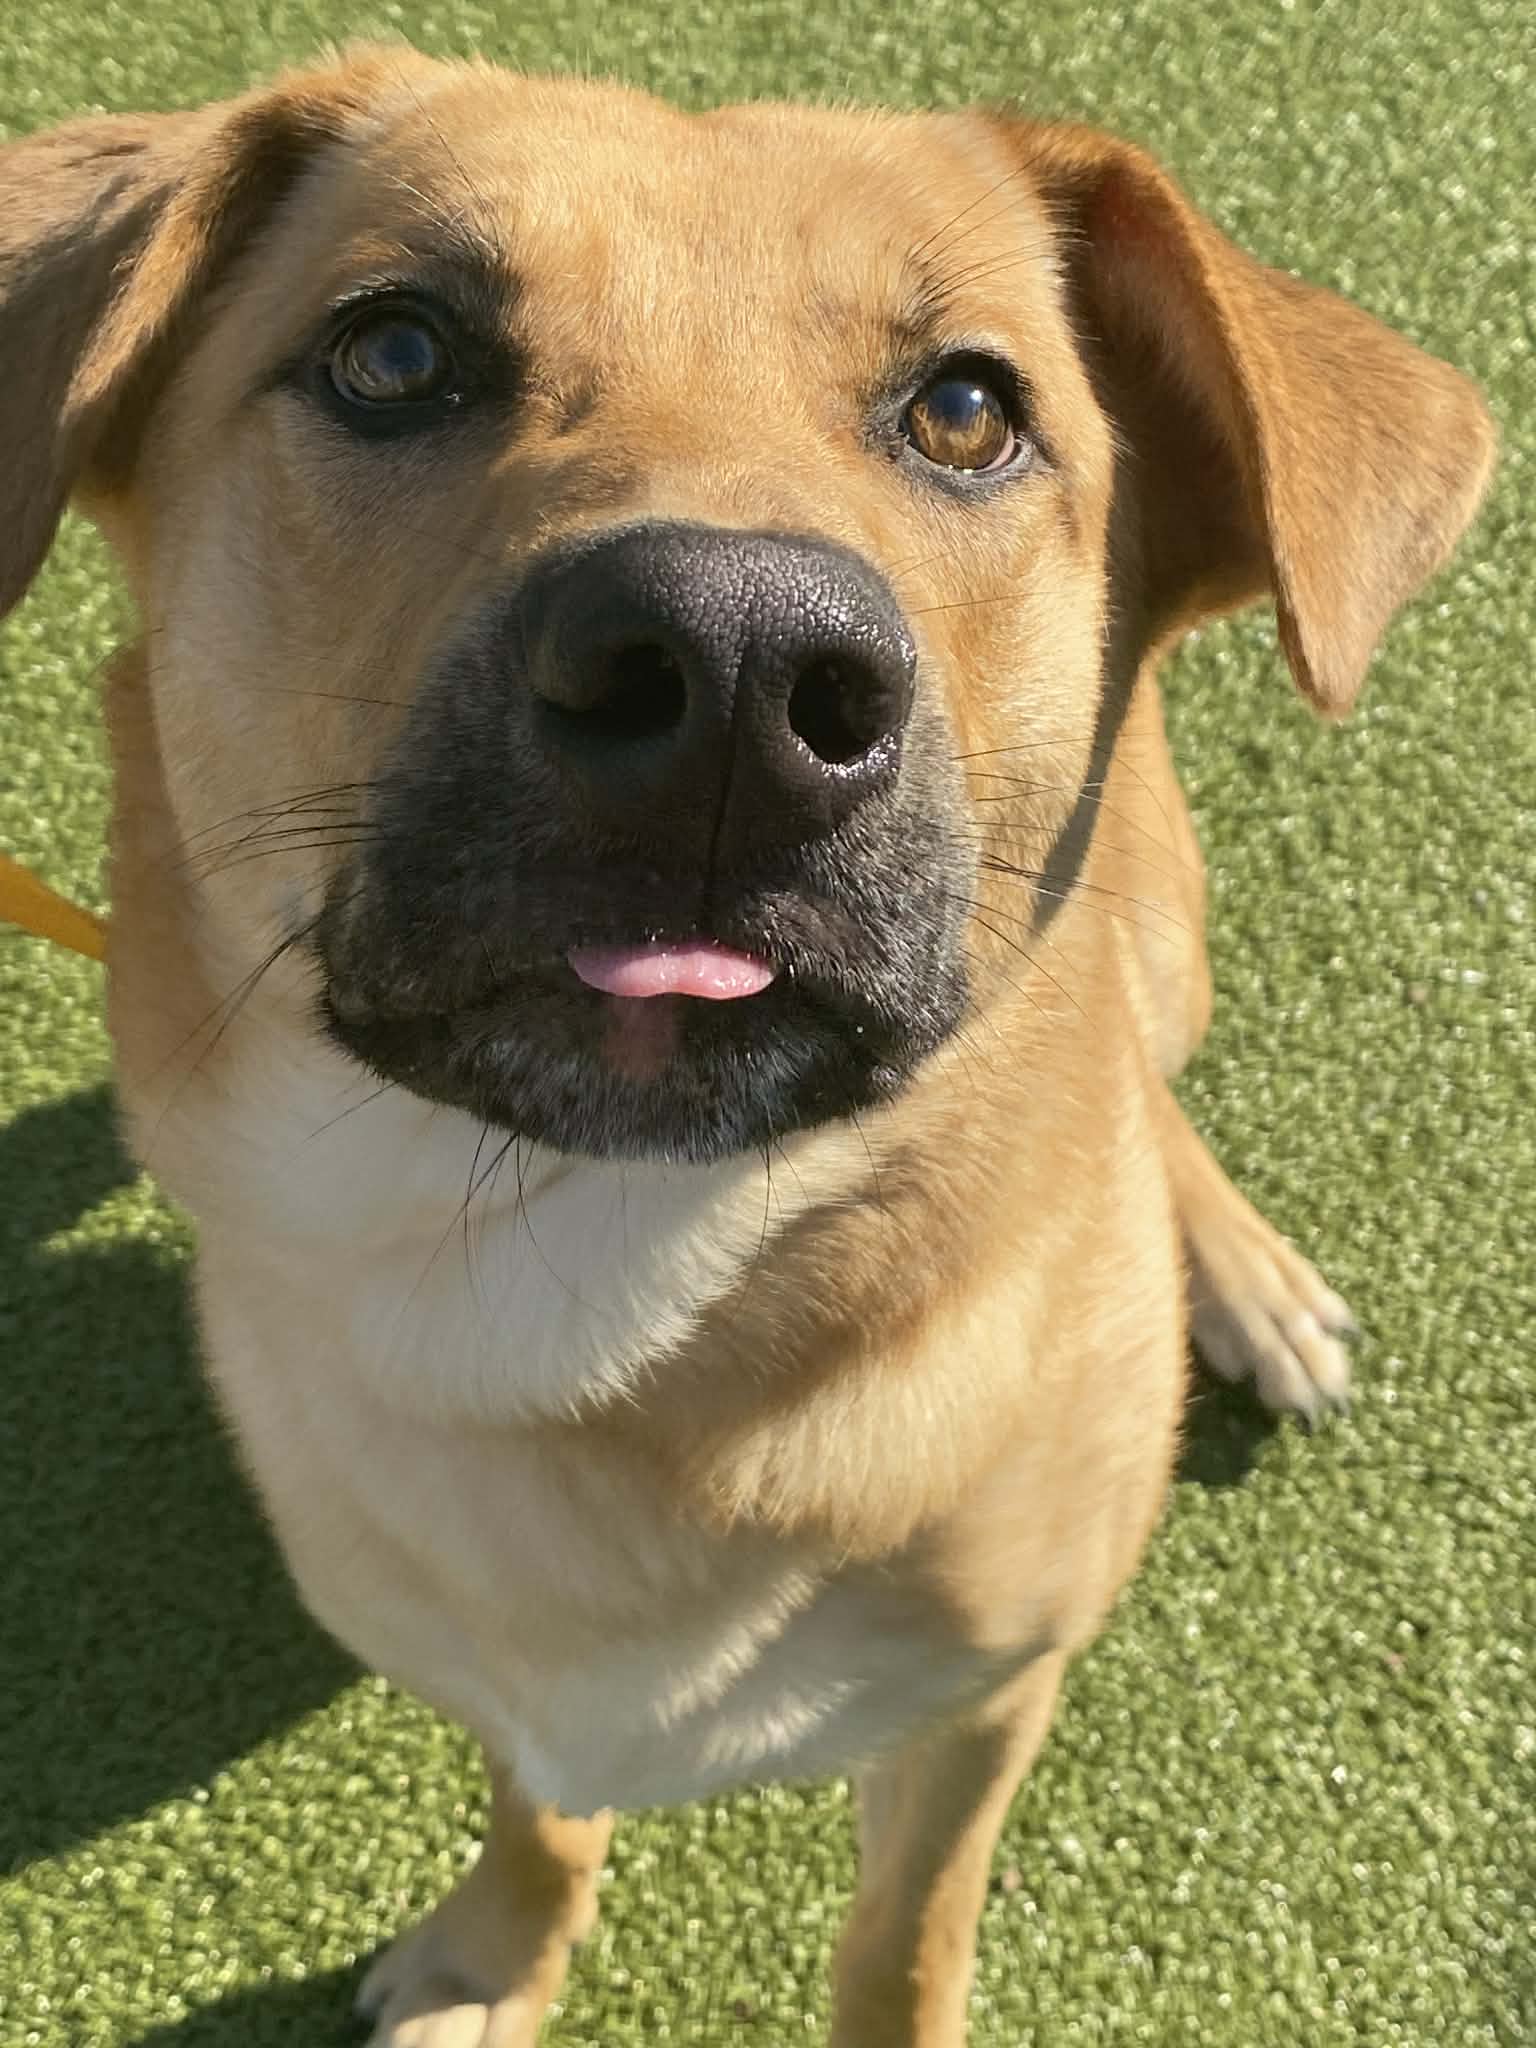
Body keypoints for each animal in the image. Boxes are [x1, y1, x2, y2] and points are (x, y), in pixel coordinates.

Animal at [0, 47, 1494, 2046]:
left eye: (967, 409)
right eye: (392, 352)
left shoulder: (982, 1707)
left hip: (1167, 921)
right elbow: (543, 1806)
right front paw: (500, 1950)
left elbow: (904, 1937)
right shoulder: (511, 1677)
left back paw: (1236, 1272)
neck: (599, 1282)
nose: (733, 673)